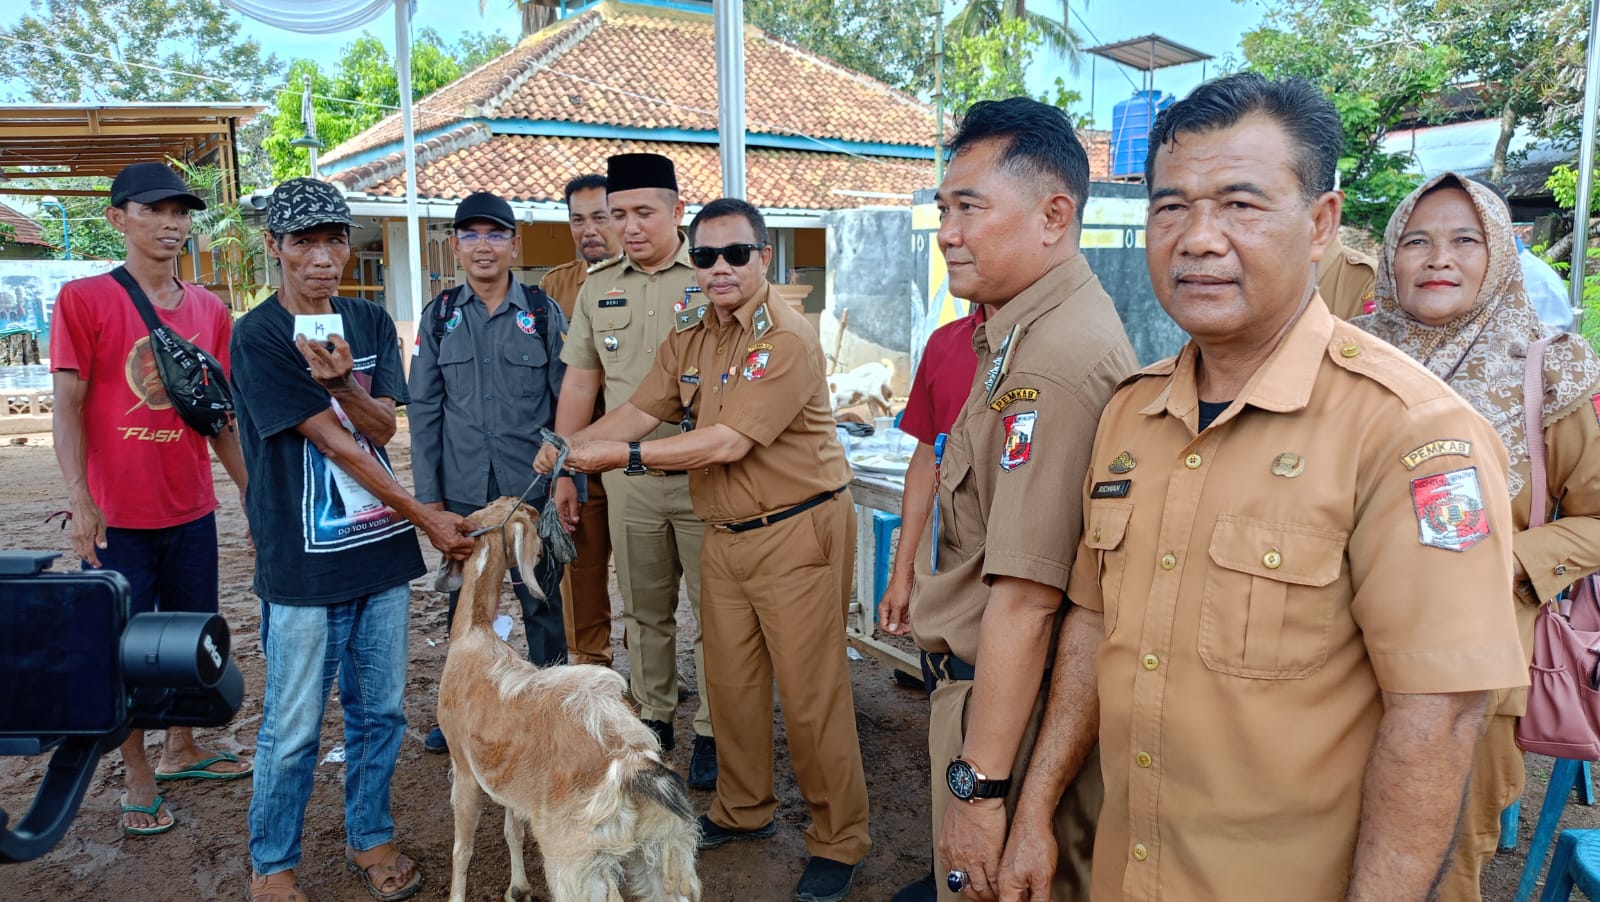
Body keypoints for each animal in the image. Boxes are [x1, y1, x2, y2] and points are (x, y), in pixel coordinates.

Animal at [438, 495, 700, 895]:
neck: (473, 636)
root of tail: (631, 766)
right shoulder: (507, 781)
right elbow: (512, 830)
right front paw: (519, 889)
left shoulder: (464, 768)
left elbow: (461, 849)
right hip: (661, 848)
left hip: (575, 861)